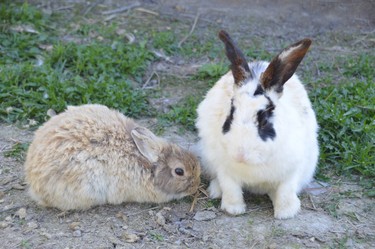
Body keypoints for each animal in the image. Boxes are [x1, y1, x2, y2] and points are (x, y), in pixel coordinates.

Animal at [197, 30, 320, 219]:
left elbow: (286, 190)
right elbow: (231, 188)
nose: (240, 154)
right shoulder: (224, 168)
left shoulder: (293, 169)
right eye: (230, 114)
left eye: (264, 119)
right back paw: (215, 191)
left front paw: (286, 212)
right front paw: (234, 209)